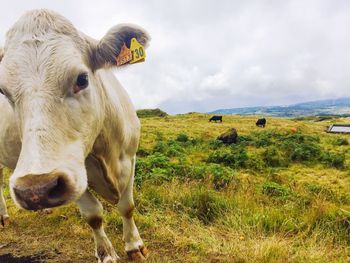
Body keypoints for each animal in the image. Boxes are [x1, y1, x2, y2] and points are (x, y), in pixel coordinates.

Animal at [0, 9, 149, 262]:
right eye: (4, 91)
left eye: (82, 79)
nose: (35, 188)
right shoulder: (72, 175)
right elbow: (93, 215)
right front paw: (106, 253)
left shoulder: (130, 157)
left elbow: (127, 206)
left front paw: (134, 246)